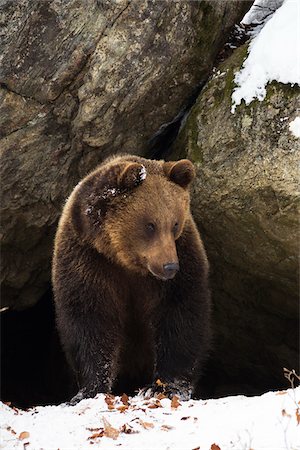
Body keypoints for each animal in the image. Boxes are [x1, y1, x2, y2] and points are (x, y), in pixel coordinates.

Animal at [52, 155, 211, 404]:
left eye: (175, 223)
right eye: (150, 225)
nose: (170, 266)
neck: (125, 260)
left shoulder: (182, 257)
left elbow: (181, 315)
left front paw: (164, 387)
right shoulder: (88, 260)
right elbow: (90, 320)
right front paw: (89, 390)